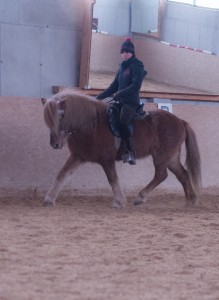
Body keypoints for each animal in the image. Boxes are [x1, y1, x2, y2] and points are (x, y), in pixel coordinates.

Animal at [41, 89, 202, 209]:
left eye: (61, 115)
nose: (55, 144)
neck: (91, 124)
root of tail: (180, 121)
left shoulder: (106, 159)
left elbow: (112, 178)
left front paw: (119, 201)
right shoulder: (78, 156)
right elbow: (62, 175)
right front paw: (49, 199)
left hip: (161, 156)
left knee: (161, 175)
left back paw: (140, 197)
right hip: (171, 157)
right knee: (183, 174)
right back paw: (191, 200)